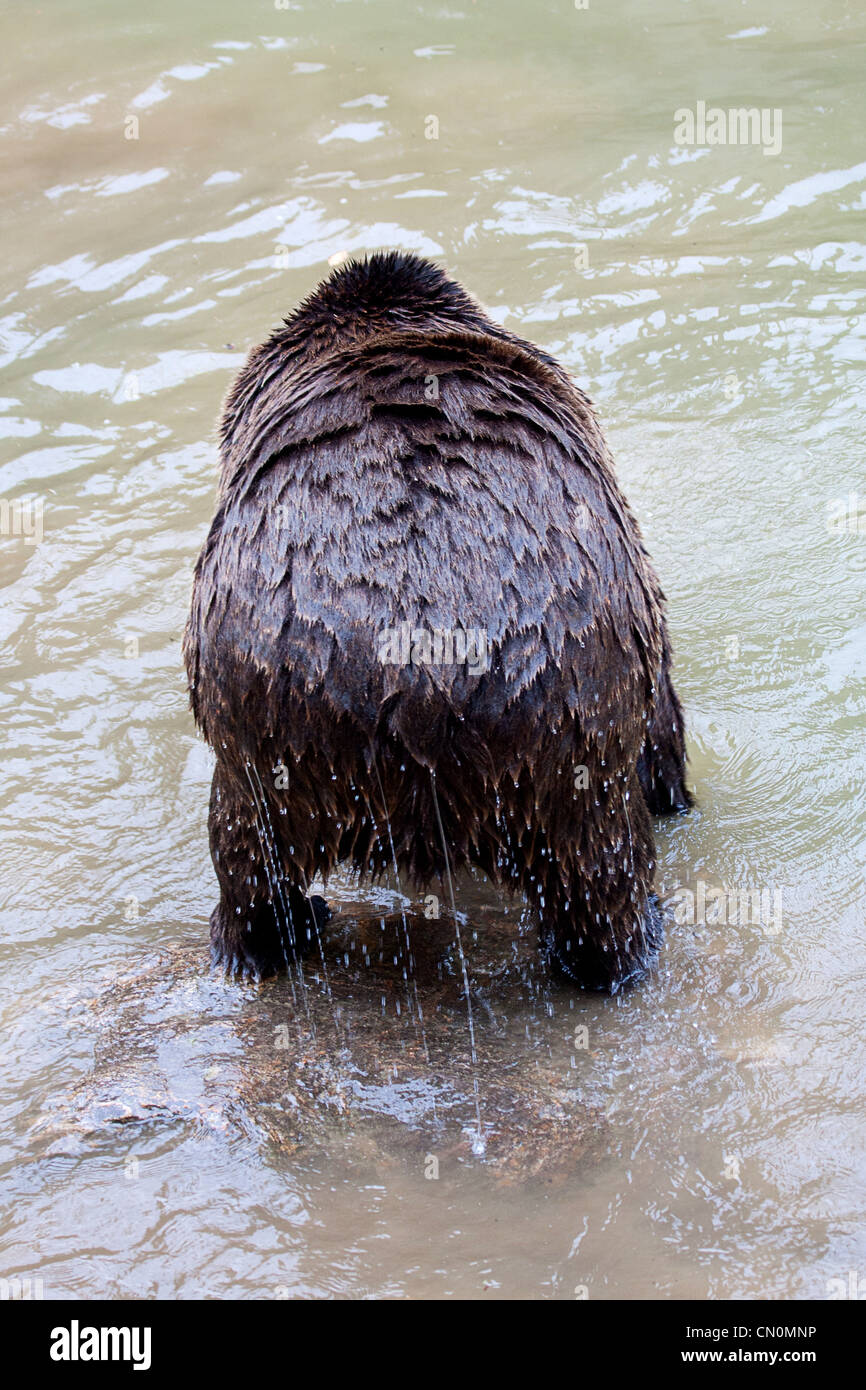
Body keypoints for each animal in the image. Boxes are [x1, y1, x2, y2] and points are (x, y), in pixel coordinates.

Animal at [183, 250, 692, 989]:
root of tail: (420, 678)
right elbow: (664, 718)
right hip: (566, 723)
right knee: (601, 874)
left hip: (272, 732)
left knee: (250, 855)